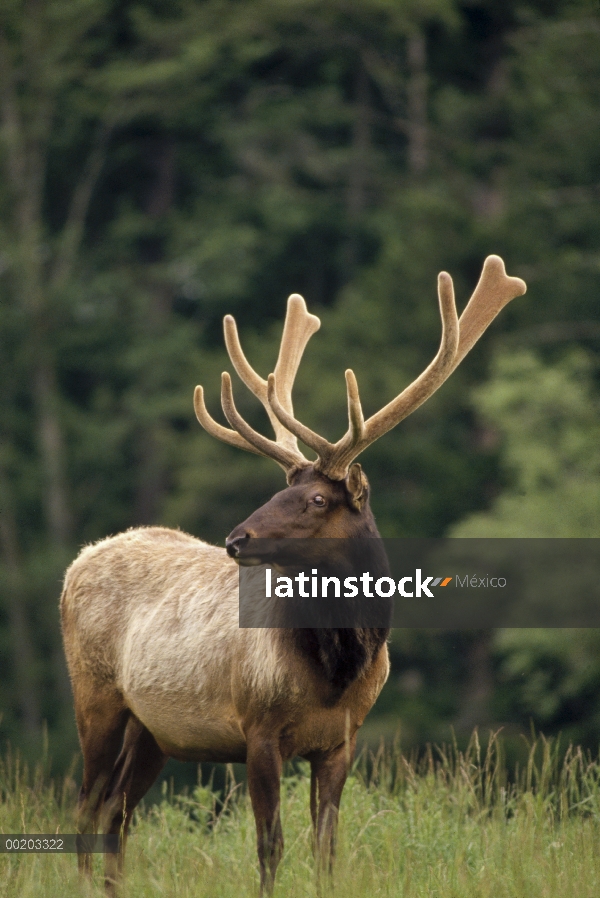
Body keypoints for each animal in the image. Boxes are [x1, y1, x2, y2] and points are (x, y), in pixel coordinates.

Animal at [58, 256, 524, 892]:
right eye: (283, 490)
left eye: (318, 500)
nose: (237, 539)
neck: (335, 675)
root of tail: (78, 560)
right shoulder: (258, 728)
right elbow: (270, 844)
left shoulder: (341, 742)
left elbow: (326, 847)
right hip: (96, 695)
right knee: (87, 807)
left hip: (152, 730)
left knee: (116, 812)